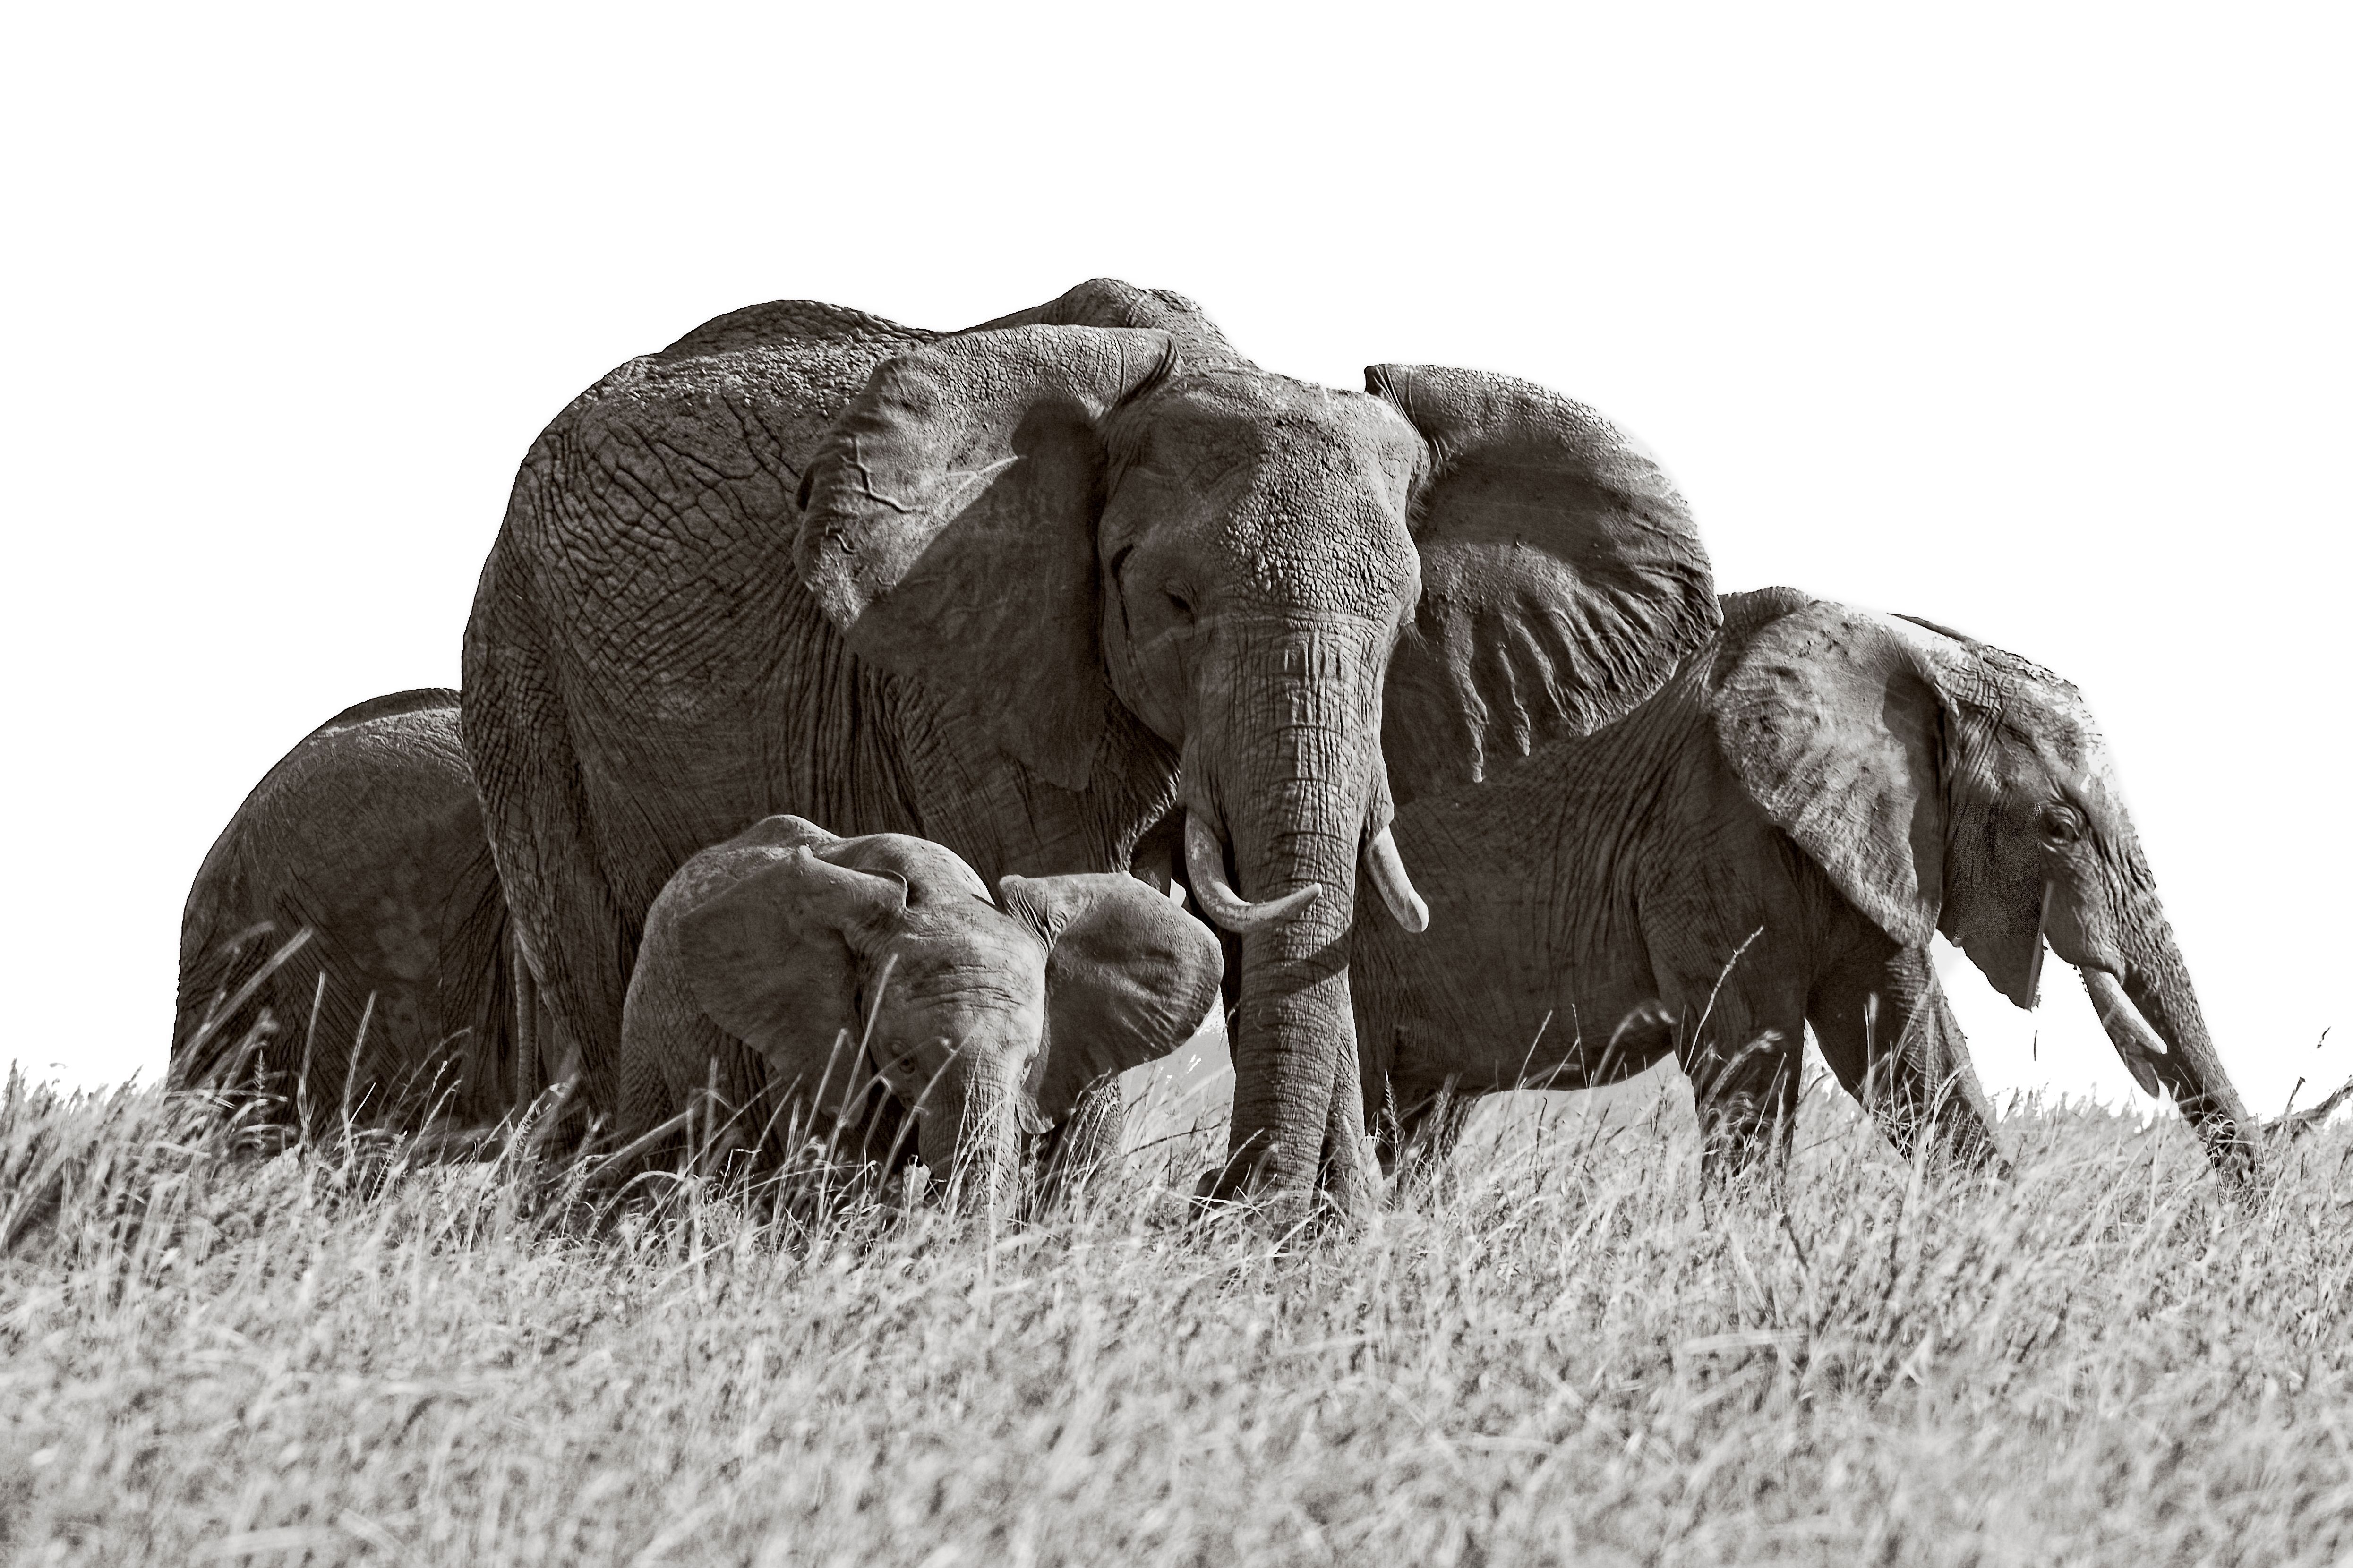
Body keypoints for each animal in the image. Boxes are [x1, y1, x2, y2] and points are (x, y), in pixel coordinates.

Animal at [1350, 587, 2260, 1182]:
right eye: (2060, 829)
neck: (1914, 653)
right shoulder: (1709, 833)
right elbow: (1750, 1061)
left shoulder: (1869, 847)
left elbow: (1907, 1059)